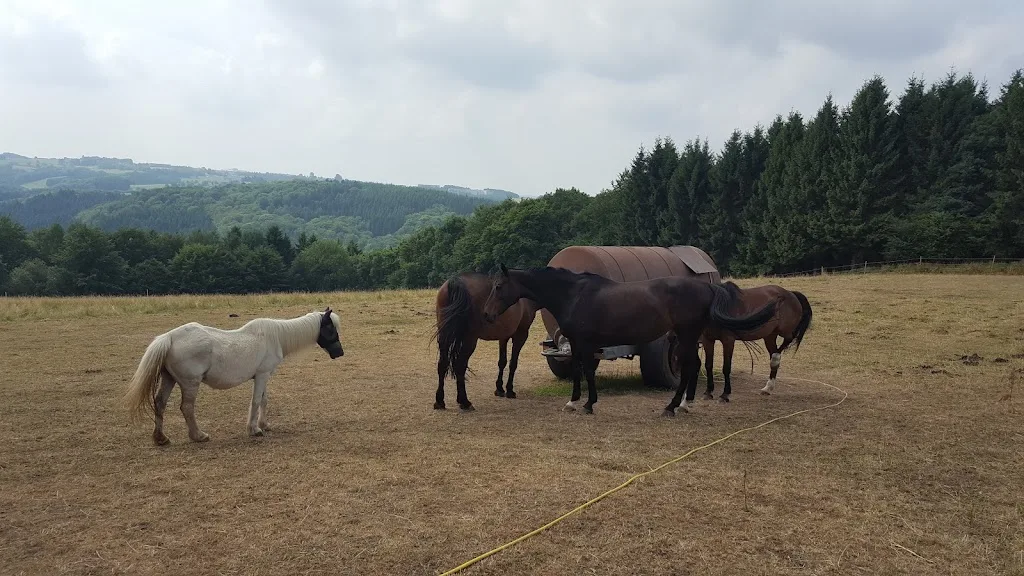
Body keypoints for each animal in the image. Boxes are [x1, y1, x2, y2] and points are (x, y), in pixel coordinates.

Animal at [123, 308, 344, 445]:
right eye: (330, 328)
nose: (340, 353)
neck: (275, 337)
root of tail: (169, 337)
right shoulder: (262, 375)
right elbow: (256, 401)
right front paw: (254, 430)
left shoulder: (264, 376)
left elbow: (264, 400)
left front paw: (264, 424)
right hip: (189, 383)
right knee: (186, 407)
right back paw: (198, 436)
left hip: (169, 379)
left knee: (159, 403)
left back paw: (161, 438)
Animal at [431, 271, 538, 411]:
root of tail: (456, 282)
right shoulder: (521, 335)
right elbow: (513, 363)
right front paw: (509, 390)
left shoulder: (503, 337)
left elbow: (502, 361)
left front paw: (499, 389)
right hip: (469, 340)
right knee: (460, 365)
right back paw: (465, 402)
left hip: (444, 336)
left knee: (442, 364)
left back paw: (440, 401)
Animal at [481, 264, 777, 416]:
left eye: (498, 286)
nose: (487, 314)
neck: (573, 294)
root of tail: (707, 285)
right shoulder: (577, 343)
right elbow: (579, 371)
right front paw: (575, 402)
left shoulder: (585, 343)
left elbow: (586, 372)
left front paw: (586, 404)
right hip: (689, 337)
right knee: (693, 367)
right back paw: (685, 404)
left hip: (685, 336)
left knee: (688, 368)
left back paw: (672, 406)